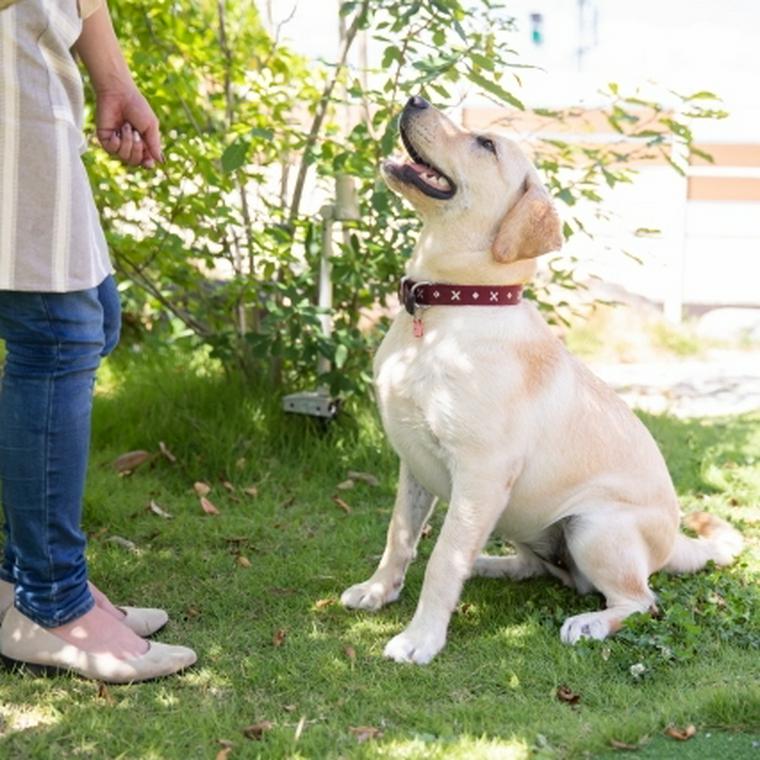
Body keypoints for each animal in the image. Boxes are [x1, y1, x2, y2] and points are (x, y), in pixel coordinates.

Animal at [342, 96, 744, 664]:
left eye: (485, 144)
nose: (416, 99)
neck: (448, 307)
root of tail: (674, 544)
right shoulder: (413, 463)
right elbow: (400, 536)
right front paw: (379, 591)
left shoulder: (481, 474)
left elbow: (443, 558)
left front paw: (421, 638)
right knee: (534, 567)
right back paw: (488, 564)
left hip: (593, 527)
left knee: (642, 600)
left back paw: (589, 623)